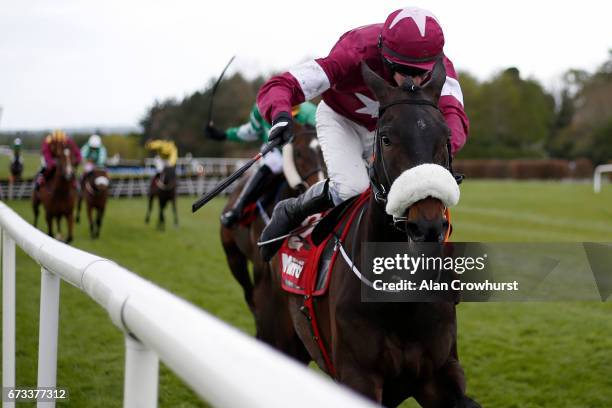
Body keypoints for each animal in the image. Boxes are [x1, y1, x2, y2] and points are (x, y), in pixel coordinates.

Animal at [260, 61, 480, 408]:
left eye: (446, 136)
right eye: (387, 138)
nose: (427, 226)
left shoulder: (441, 373)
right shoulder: (358, 378)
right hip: (278, 341)